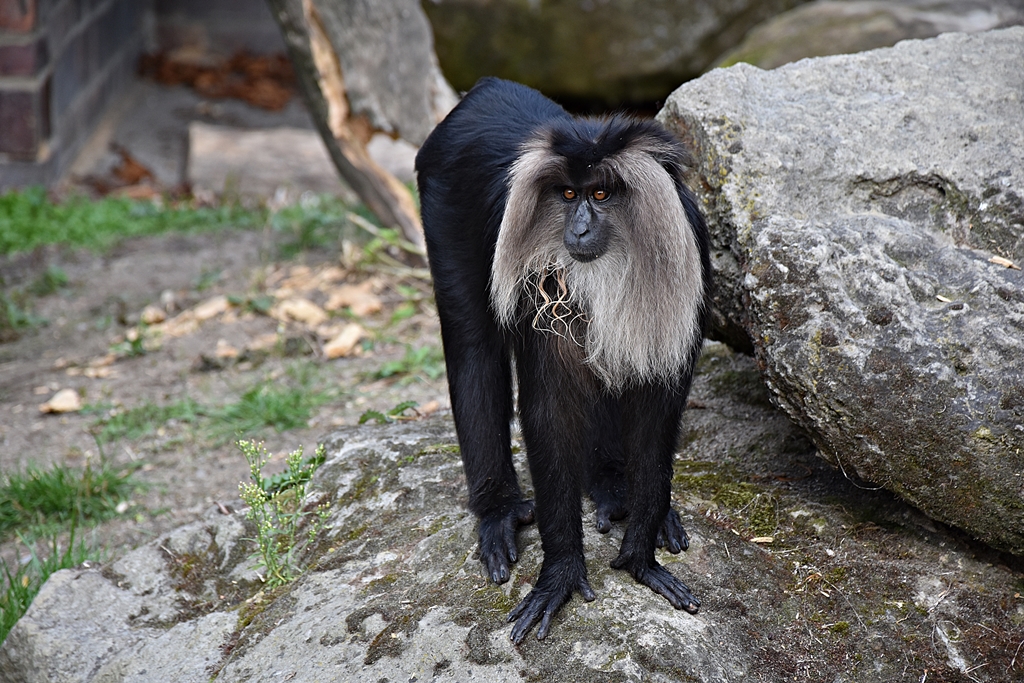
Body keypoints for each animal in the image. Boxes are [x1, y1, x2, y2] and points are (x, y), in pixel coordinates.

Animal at [414, 77, 711, 644]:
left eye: (600, 194)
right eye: (568, 195)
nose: (577, 230)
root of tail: (483, 92)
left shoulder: (692, 254)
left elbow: (659, 406)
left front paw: (641, 555)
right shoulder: (541, 280)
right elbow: (549, 409)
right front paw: (561, 573)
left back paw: (614, 487)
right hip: (442, 203)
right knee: (473, 346)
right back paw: (499, 512)